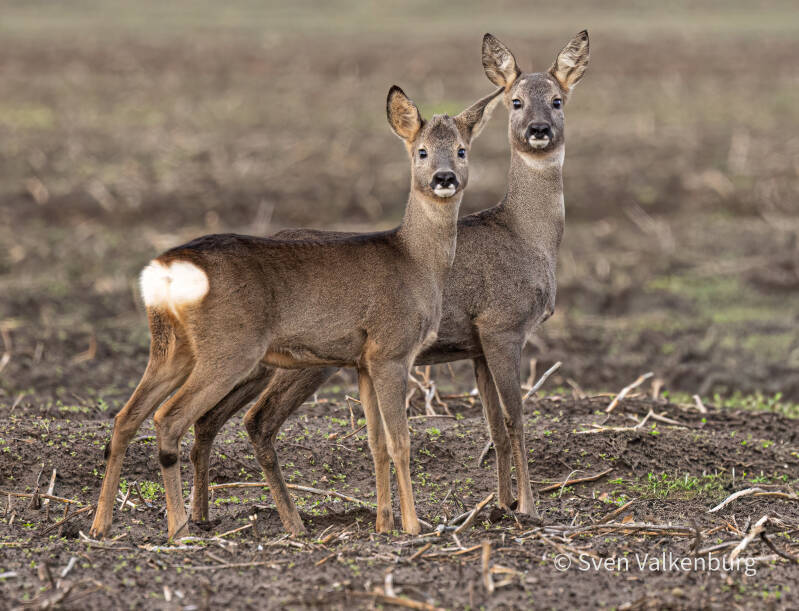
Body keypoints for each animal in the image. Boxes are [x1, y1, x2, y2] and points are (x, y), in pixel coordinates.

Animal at [88, 84, 502, 540]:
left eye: (462, 150)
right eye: (422, 151)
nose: (444, 178)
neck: (415, 260)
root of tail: (162, 271)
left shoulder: (362, 361)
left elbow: (375, 443)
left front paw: (382, 524)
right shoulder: (391, 349)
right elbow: (400, 442)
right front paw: (411, 527)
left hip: (172, 347)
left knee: (125, 418)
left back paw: (101, 524)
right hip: (229, 348)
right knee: (168, 419)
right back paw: (179, 528)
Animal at [182, 31, 590, 536]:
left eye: (558, 100)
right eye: (516, 101)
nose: (538, 129)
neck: (527, 236)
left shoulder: (475, 344)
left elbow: (494, 426)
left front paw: (501, 506)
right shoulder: (502, 324)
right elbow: (516, 419)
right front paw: (529, 510)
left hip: (262, 362)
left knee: (208, 417)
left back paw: (203, 516)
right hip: (302, 363)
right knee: (254, 420)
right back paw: (282, 522)